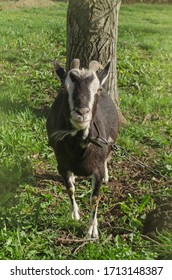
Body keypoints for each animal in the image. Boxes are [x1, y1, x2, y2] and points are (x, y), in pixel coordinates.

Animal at [46, 59, 119, 238]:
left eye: (97, 89)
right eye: (64, 88)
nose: (82, 112)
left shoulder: (97, 169)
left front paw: (92, 230)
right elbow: (70, 189)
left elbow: (94, 198)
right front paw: (75, 214)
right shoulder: (62, 165)